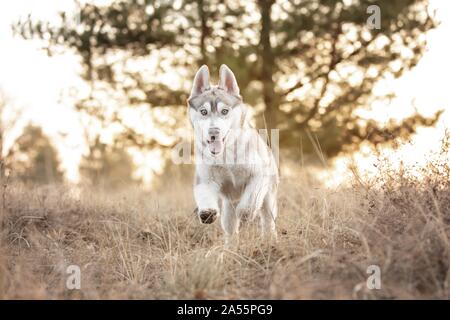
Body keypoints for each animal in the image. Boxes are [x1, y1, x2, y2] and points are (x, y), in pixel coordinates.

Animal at [186, 64, 278, 242]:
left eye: (224, 111)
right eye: (203, 112)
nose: (214, 132)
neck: (225, 155)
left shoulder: (258, 174)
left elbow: (250, 201)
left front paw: (246, 213)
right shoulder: (205, 178)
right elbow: (204, 194)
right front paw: (207, 212)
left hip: (269, 197)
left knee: (267, 220)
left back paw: (269, 239)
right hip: (228, 207)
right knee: (230, 229)